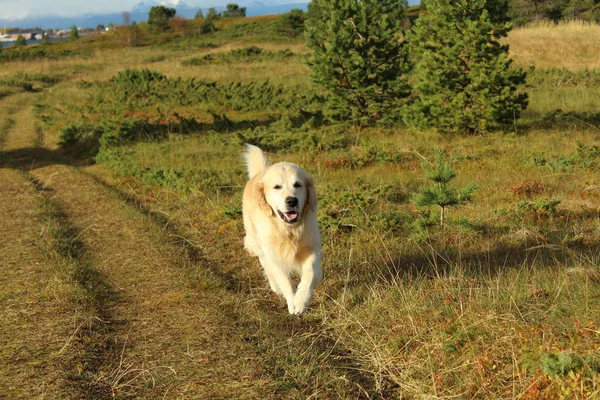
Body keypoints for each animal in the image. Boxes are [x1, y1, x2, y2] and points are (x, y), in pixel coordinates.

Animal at [243, 145, 324, 316]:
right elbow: (283, 279)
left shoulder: (311, 247)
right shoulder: (273, 254)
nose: (292, 201)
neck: (289, 230)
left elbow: (310, 274)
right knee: (265, 264)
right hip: (256, 241)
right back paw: (275, 287)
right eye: (277, 187)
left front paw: (301, 300)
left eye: (298, 184)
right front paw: (292, 301)